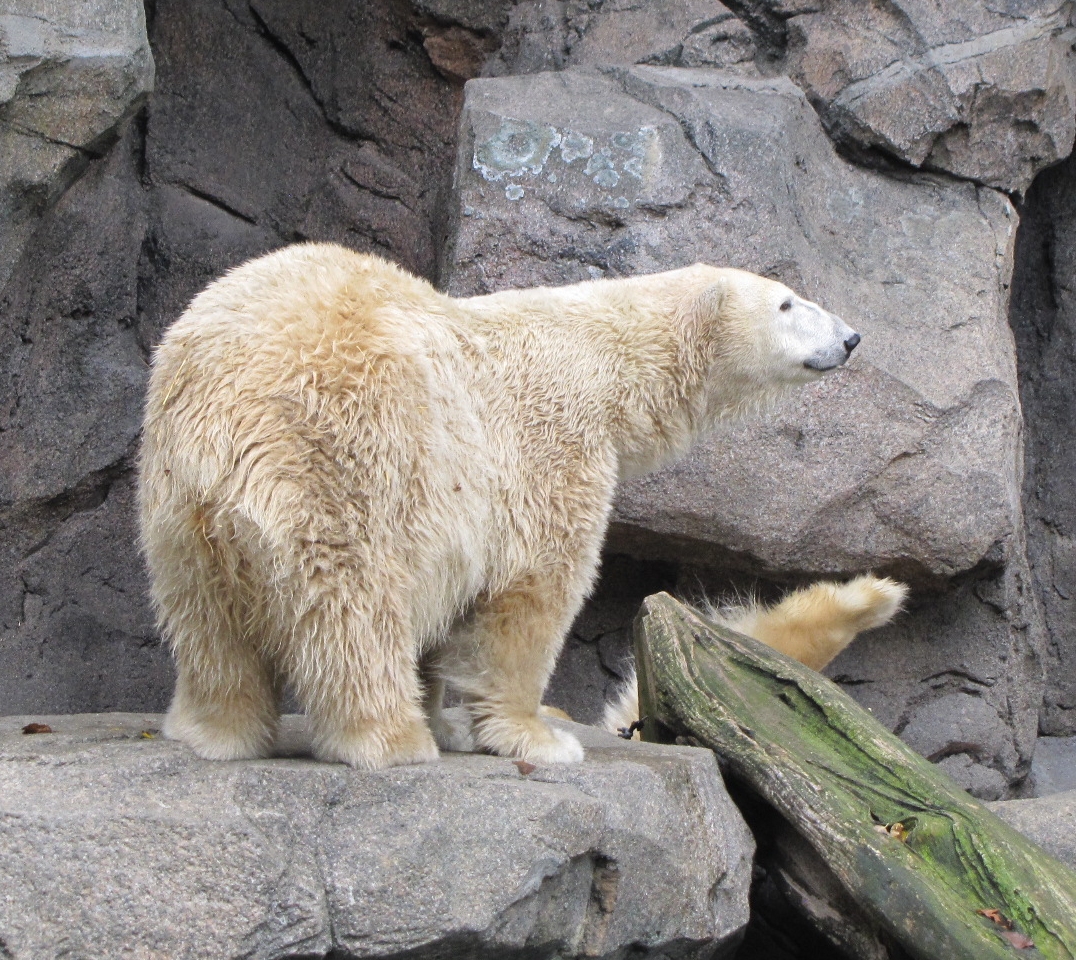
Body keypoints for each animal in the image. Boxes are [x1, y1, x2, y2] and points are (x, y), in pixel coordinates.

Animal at [138, 242, 861, 770]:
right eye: (786, 303)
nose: (852, 337)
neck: (608, 362)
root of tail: (228, 413)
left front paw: (452, 724)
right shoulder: (546, 444)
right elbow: (533, 590)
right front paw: (538, 737)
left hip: (175, 499)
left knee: (206, 619)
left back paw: (214, 731)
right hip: (345, 457)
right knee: (353, 606)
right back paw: (391, 740)